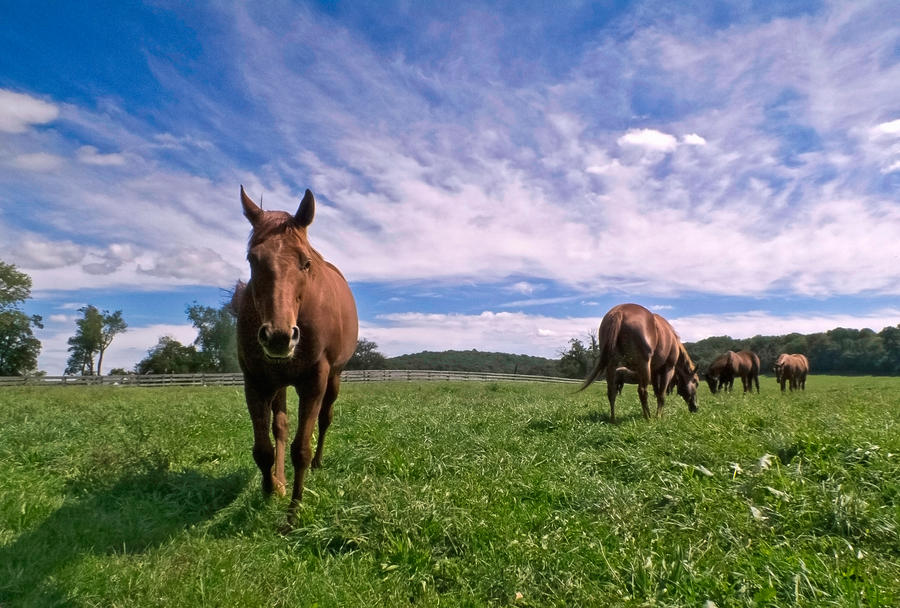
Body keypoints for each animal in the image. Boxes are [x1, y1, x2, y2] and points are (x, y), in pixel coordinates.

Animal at [232, 186, 358, 528]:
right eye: (252, 259)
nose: (279, 336)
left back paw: (317, 463)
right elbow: (263, 448)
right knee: (281, 426)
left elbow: (301, 448)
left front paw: (293, 514)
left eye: (305, 262)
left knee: (325, 419)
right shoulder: (256, 382)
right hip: (279, 384)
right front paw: (269, 489)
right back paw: (279, 481)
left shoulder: (314, 381)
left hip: (334, 379)